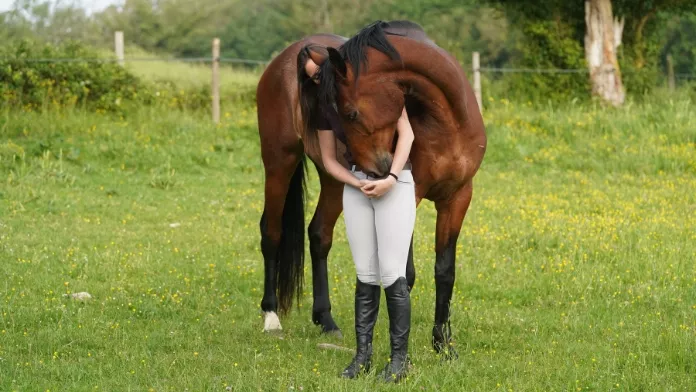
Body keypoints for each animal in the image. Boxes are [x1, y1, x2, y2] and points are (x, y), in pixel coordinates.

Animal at [253, 21, 486, 356]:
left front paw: (442, 344)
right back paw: (271, 317)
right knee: (271, 232)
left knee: (319, 235)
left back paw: (327, 321)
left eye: (349, 113)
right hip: (278, 163)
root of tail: (282, 58)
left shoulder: (458, 196)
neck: (447, 122)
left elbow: (445, 271)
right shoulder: (409, 196)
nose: (374, 169)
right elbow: (404, 272)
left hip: (334, 181)